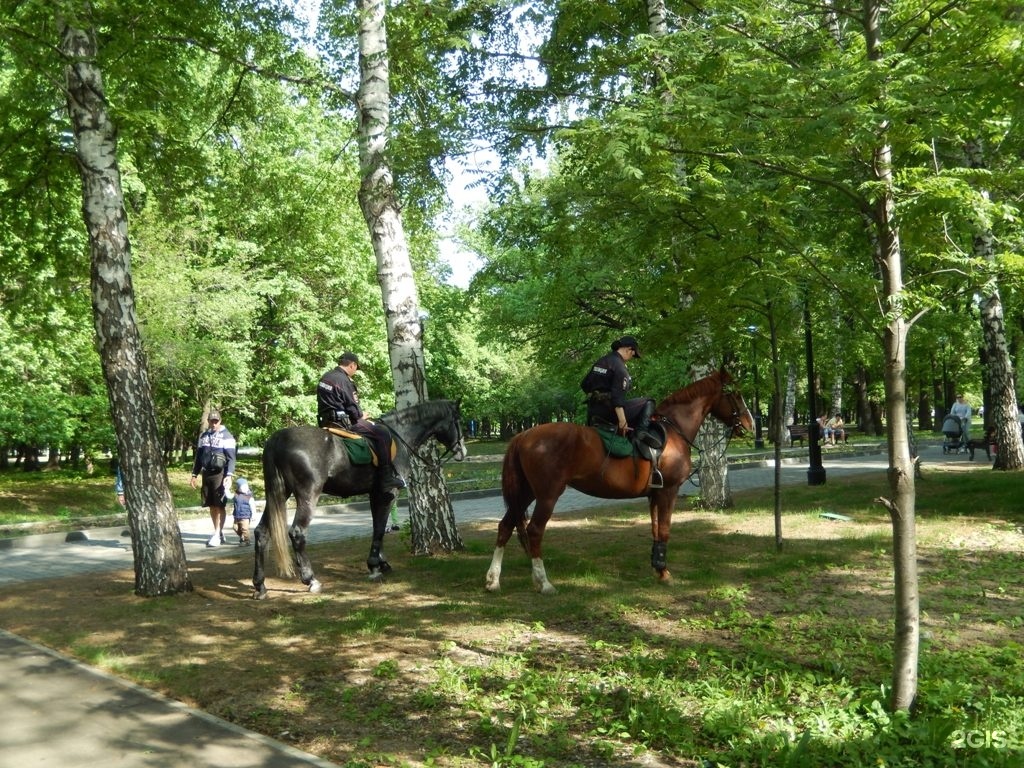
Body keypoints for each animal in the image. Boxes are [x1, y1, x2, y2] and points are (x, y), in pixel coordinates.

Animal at [253, 399, 466, 606]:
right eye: (458, 420)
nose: (462, 451)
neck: (400, 434)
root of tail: (277, 439)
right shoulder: (388, 493)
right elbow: (379, 529)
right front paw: (374, 566)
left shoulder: (375, 494)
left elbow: (377, 527)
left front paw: (381, 563)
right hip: (308, 495)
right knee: (297, 533)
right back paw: (310, 579)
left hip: (279, 493)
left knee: (261, 532)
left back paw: (260, 585)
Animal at [483, 370, 757, 593]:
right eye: (736, 394)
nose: (750, 424)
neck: (673, 431)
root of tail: (524, 435)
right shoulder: (668, 491)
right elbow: (665, 530)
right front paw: (665, 573)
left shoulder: (655, 494)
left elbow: (655, 530)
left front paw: (658, 569)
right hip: (547, 495)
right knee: (534, 531)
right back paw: (544, 582)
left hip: (526, 493)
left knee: (505, 526)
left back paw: (493, 580)